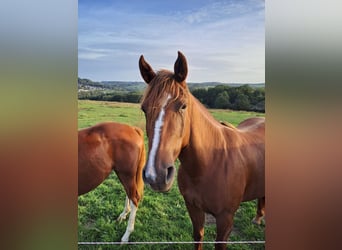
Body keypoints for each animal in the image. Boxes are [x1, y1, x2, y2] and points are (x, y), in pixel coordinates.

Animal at [138, 51, 264, 249]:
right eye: (144, 109)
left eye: (183, 106)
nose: (155, 175)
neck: (210, 162)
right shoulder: (193, 207)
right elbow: (198, 235)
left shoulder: (225, 219)